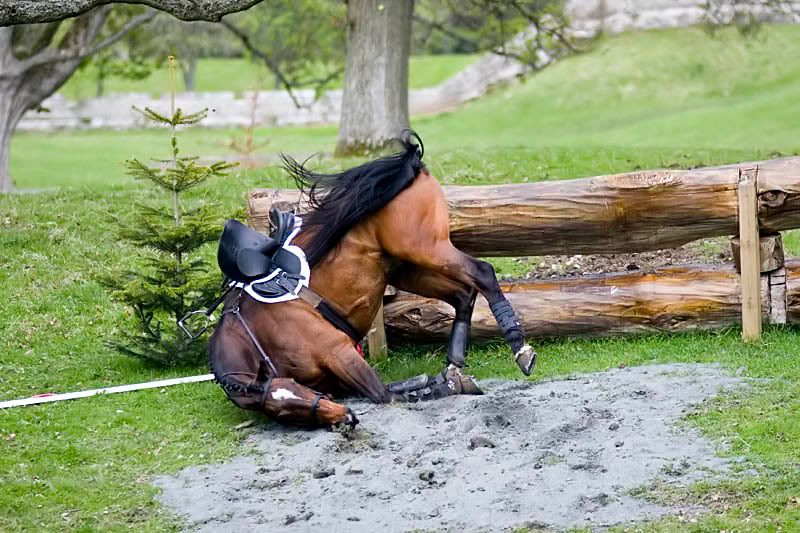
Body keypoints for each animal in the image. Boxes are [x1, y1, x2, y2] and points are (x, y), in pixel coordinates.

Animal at [207, 131, 537, 428]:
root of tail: (411, 165)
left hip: (426, 248)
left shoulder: (339, 352)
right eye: (285, 414)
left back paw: (519, 349)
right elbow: (390, 391)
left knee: (482, 273)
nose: (346, 419)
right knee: (464, 294)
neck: (256, 337)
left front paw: (436, 387)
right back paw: (454, 365)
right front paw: (443, 383)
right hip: (405, 269)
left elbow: (385, 394)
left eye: (292, 407)